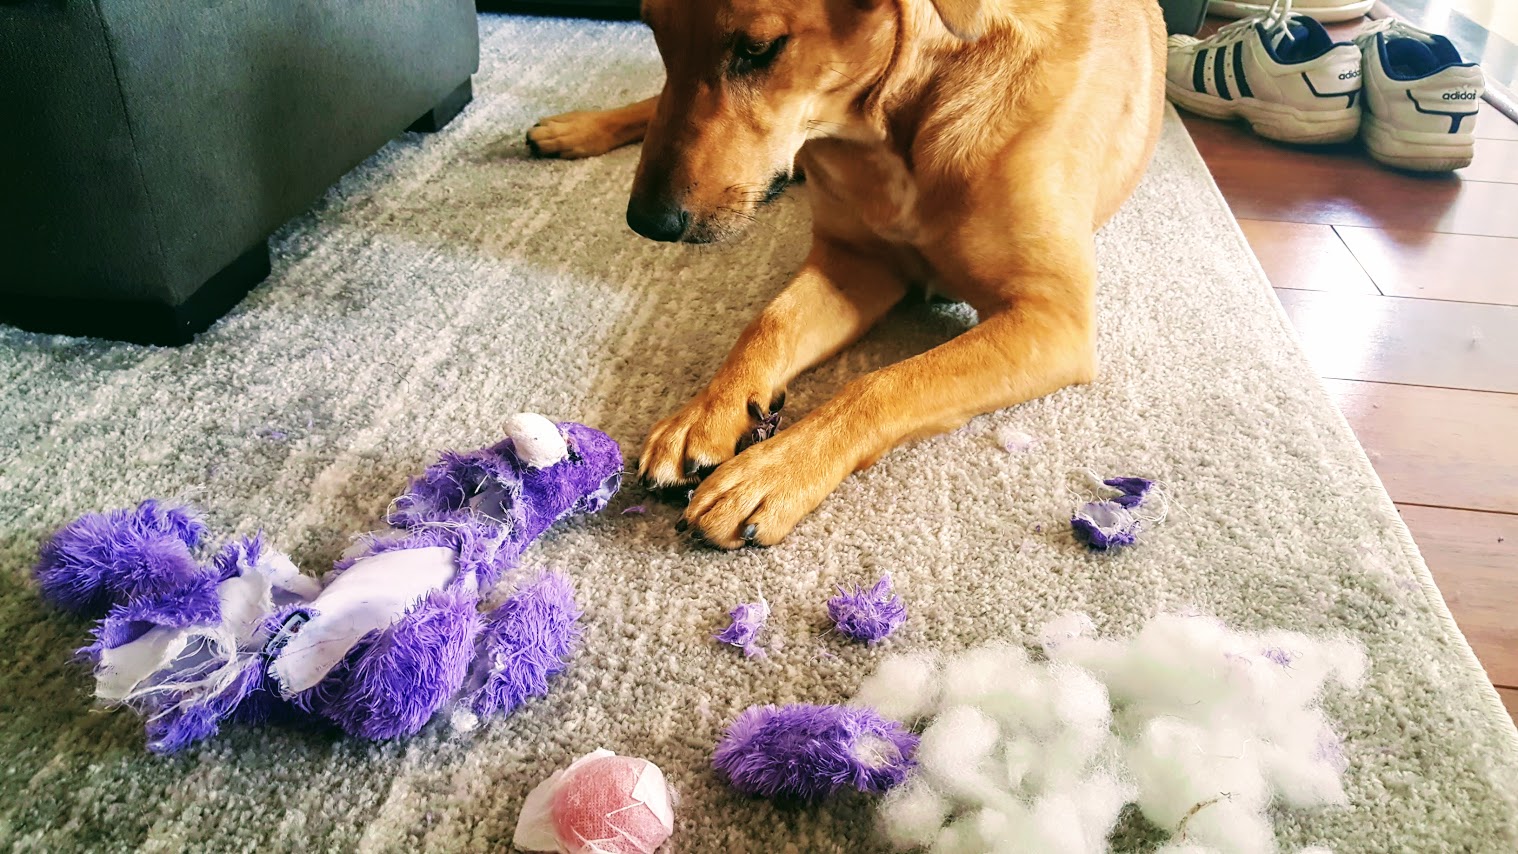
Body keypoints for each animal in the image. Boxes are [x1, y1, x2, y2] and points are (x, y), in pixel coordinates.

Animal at [528, 0, 1165, 552]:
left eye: (758, 48)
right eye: (654, 29)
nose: (647, 222)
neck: (909, 112)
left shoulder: (1053, 320)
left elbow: (882, 383)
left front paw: (772, 471)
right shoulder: (854, 263)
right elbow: (770, 323)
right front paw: (704, 412)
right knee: (652, 104)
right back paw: (572, 129)